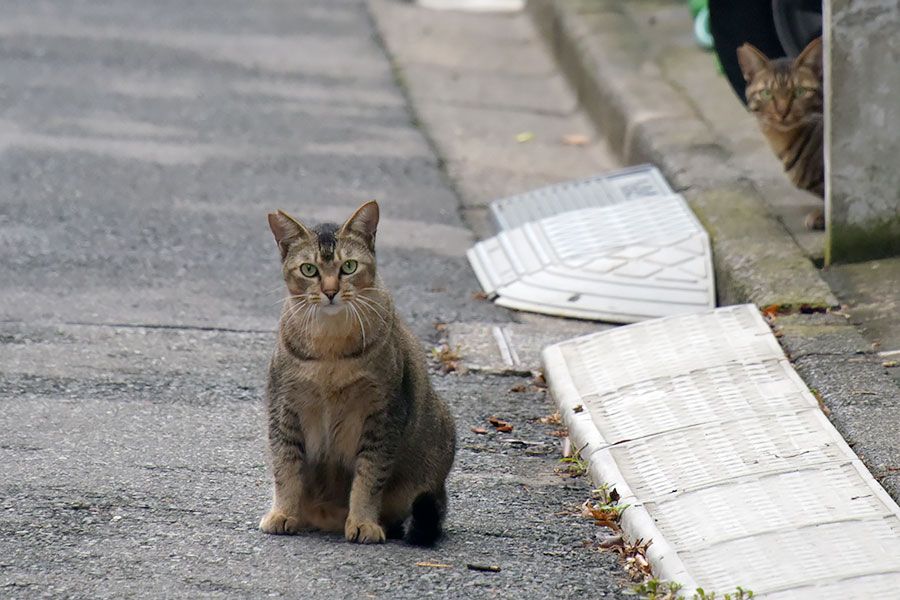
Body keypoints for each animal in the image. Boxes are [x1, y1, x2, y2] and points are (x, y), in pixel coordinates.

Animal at [260, 200, 458, 544]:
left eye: (349, 267)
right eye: (309, 270)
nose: (330, 291)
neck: (331, 349)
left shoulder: (383, 414)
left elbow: (369, 476)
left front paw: (363, 522)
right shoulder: (283, 406)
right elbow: (285, 468)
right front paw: (283, 513)